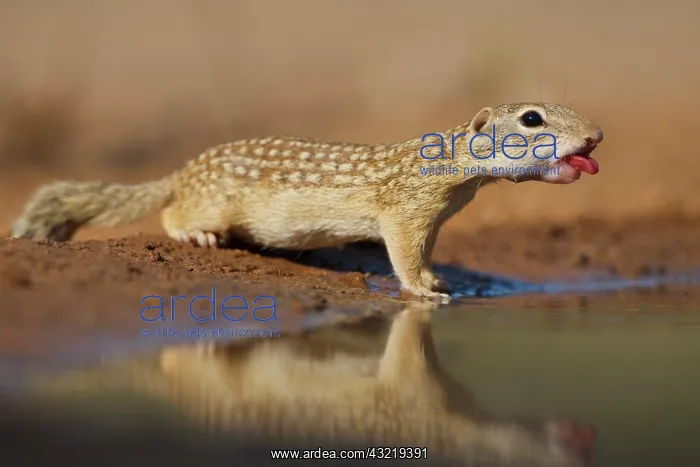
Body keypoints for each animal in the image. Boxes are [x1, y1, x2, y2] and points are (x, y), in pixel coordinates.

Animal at [10, 102, 603, 301]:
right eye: (532, 118)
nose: (596, 136)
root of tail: (185, 169)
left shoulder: (434, 219)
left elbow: (426, 253)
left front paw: (436, 278)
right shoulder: (406, 213)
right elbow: (402, 254)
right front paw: (423, 291)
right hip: (208, 202)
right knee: (172, 212)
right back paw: (193, 231)